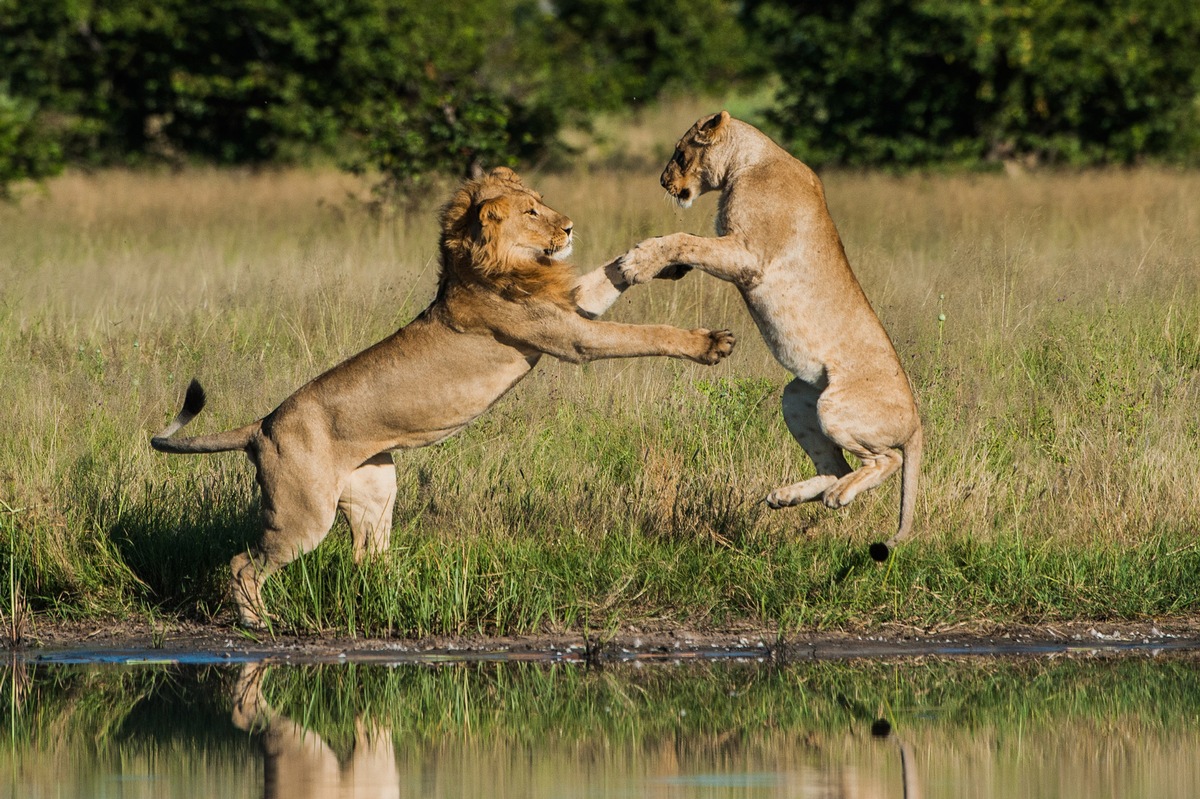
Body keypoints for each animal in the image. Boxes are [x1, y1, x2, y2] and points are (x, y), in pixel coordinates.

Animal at [150, 164, 729, 623]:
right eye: (531, 212)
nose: (568, 227)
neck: (497, 263)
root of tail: (263, 424)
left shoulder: (571, 307)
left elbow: (610, 274)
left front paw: (657, 259)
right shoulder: (569, 336)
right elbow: (643, 333)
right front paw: (709, 343)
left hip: (375, 487)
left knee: (366, 556)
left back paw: (398, 595)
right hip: (302, 514)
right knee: (242, 563)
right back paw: (260, 624)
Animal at [619, 112, 916, 559]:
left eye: (680, 153)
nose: (662, 181)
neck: (748, 160)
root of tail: (917, 421)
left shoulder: (748, 254)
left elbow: (685, 240)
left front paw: (637, 262)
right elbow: (685, 245)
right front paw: (659, 263)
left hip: (837, 407)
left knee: (885, 462)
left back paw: (839, 496)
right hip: (797, 398)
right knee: (836, 467)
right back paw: (785, 496)